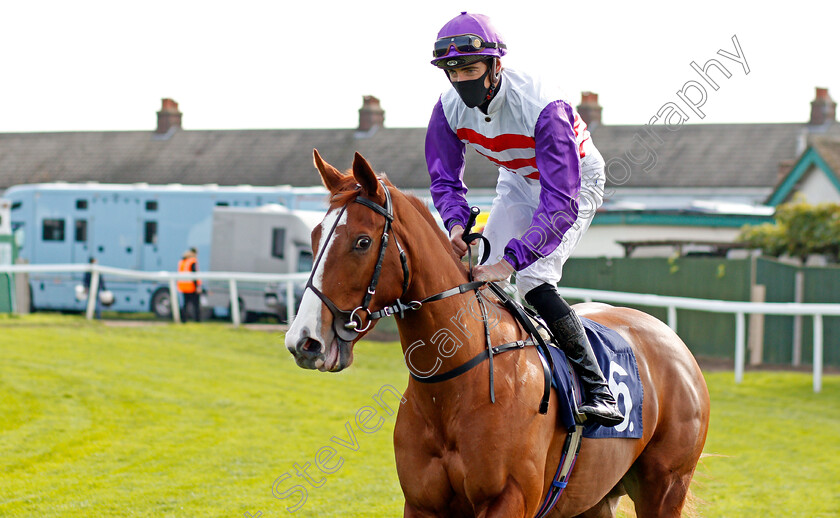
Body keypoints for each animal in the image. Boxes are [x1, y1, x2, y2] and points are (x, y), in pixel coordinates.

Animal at [288, 148, 708, 516]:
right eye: (313, 238)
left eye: (361, 242)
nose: (303, 341)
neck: (455, 385)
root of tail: (674, 342)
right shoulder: (422, 505)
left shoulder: (509, 499)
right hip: (595, 499)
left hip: (665, 487)